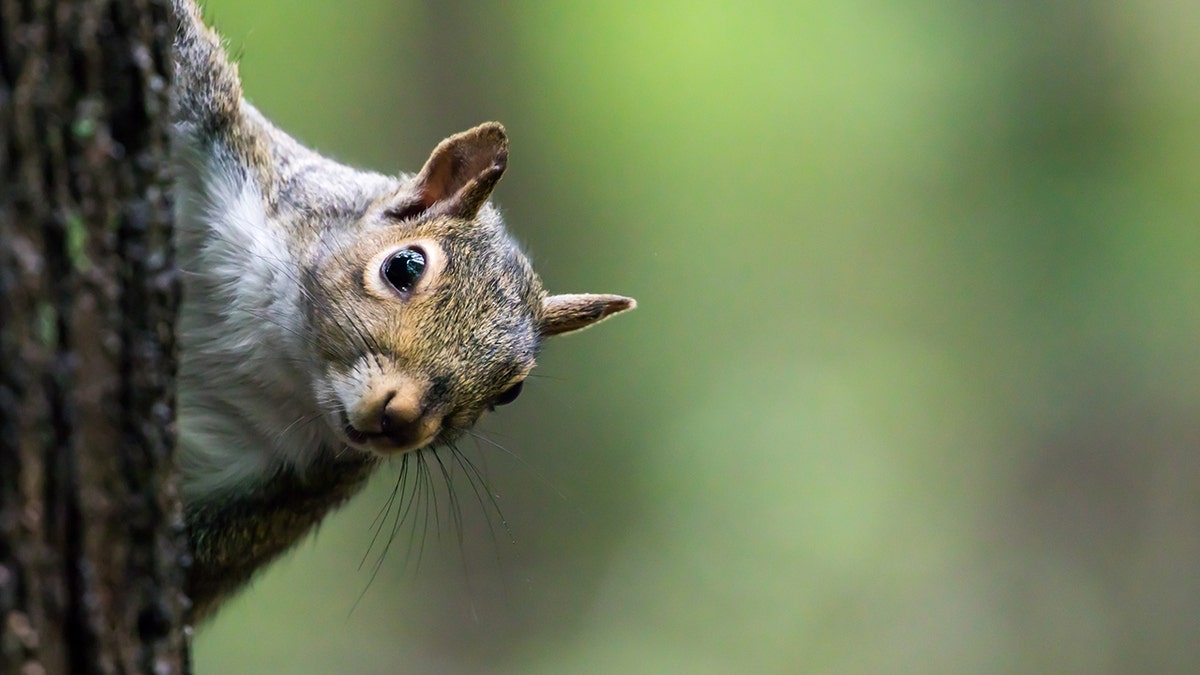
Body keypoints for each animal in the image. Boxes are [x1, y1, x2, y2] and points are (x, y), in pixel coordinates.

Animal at [170, 0, 638, 619]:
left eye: (510, 392)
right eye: (405, 267)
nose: (404, 418)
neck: (274, 352)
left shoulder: (277, 496)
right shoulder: (230, 142)